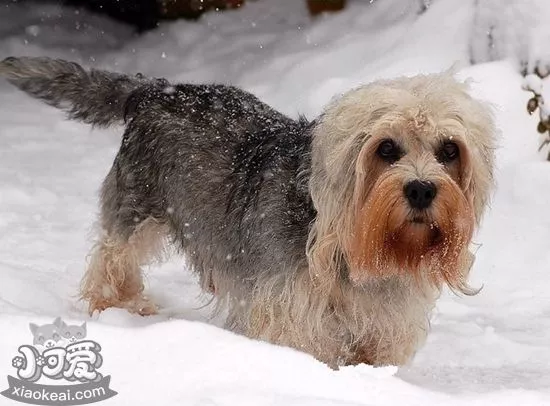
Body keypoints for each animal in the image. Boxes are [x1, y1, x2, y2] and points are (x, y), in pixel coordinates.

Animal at [0, 56, 498, 368]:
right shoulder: (292, 322)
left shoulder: (382, 333)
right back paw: (120, 308)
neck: (343, 240)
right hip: (135, 210)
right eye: (387, 148)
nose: (421, 189)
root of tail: (155, 90)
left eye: (449, 150)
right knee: (110, 261)